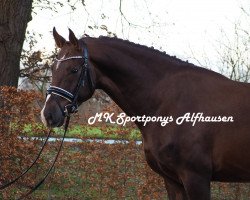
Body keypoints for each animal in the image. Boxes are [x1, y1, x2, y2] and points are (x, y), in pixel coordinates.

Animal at [41, 28, 250, 200]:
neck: (168, 102)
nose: (48, 114)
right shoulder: (173, 180)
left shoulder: (196, 178)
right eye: (52, 68)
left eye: (74, 69)